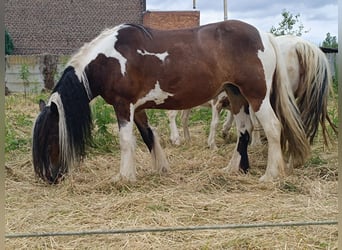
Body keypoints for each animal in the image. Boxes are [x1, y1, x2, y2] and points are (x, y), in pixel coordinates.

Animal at [32, 20, 310, 184]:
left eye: (51, 138)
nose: (50, 177)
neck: (108, 59)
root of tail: (264, 35)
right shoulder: (137, 109)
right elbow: (147, 137)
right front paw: (160, 168)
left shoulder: (123, 106)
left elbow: (126, 142)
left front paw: (123, 177)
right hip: (235, 94)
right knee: (244, 129)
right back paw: (232, 169)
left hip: (256, 95)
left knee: (272, 128)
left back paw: (270, 175)